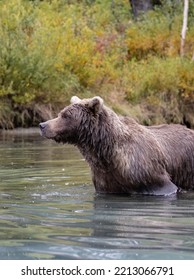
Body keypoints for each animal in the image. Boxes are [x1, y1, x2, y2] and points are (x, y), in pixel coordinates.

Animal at [38, 95, 194, 195]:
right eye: (60, 113)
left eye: (66, 116)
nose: (42, 125)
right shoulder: (106, 179)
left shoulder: (145, 171)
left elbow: (164, 186)